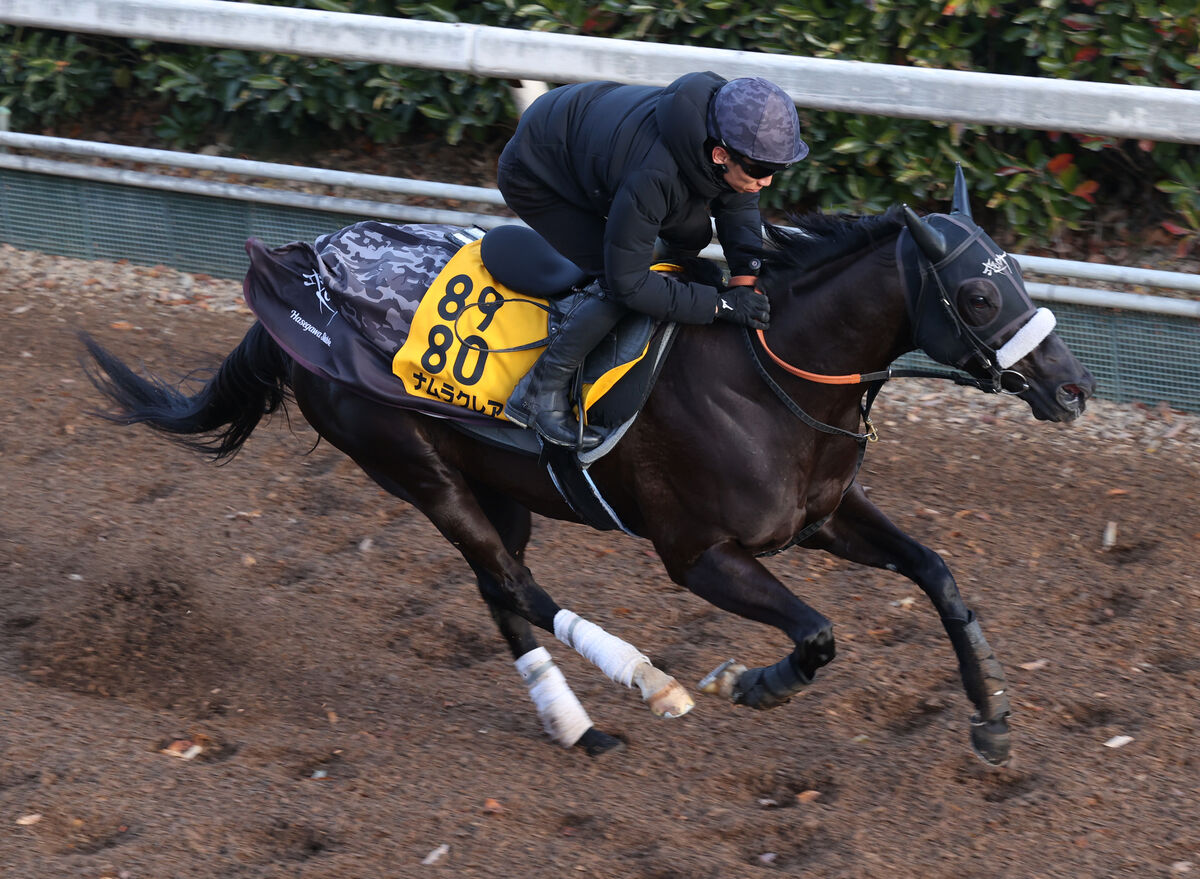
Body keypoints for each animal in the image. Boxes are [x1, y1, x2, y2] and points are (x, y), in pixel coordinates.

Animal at [82, 175, 1099, 763]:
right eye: (976, 295)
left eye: (1019, 274)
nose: (1074, 388)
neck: (767, 368)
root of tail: (295, 281)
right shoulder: (698, 552)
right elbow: (816, 634)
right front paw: (749, 682)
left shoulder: (820, 515)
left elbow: (939, 572)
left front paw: (994, 713)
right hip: (410, 463)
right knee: (515, 584)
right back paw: (650, 683)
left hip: (496, 484)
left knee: (499, 586)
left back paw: (578, 725)